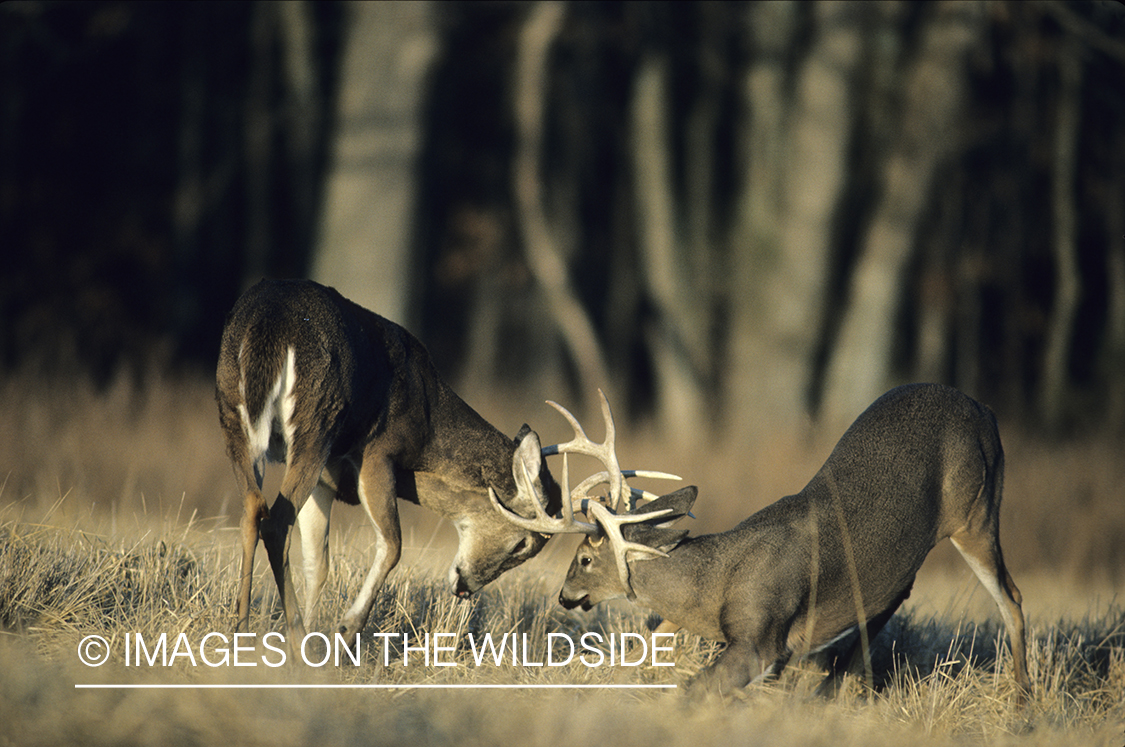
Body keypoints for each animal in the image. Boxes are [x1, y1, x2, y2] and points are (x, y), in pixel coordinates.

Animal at [216, 278, 572, 643]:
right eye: (522, 544)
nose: (466, 589)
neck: (427, 423)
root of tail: (271, 323)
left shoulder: (326, 481)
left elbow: (317, 563)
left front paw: (315, 640)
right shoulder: (378, 452)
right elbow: (392, 545)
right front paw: (344, 630)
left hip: (233, 414)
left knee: (253, 508)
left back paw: (243, 629)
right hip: (315, 424)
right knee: (276, 521)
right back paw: (295, 635)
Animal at [492, 384, 1032, 701]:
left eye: (584, 558)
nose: (565, 596)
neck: (716, 582)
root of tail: (986, 411)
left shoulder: (761, 635)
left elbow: (693, 689)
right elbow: (643, 641)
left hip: (975, 513)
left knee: (1011, 597)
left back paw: (1022, 699)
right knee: (890, 601)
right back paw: (833, 692)